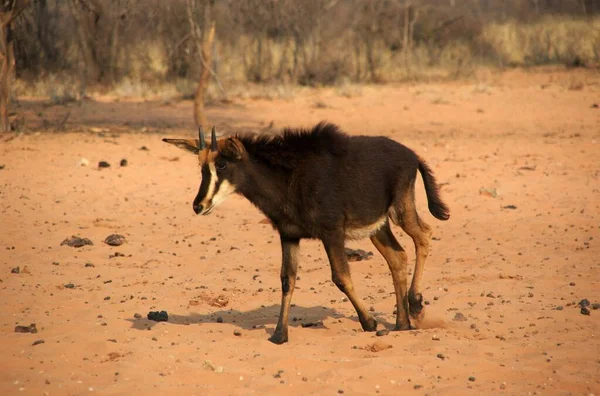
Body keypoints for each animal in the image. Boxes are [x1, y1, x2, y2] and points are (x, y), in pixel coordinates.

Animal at [162, 123, 448, 344]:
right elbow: (287, 279)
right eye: (201, 167)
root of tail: (413, 155)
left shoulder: (331, 232)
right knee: (398, 257)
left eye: (222, 164)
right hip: (378, 227)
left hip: (400, 210)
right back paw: (402, 324)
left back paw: (416, 304)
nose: (198, 205)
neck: (287, 177)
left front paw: (369, 322)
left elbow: (341, 277)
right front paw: (279, 334)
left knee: (424, 235)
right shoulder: (289, 235)